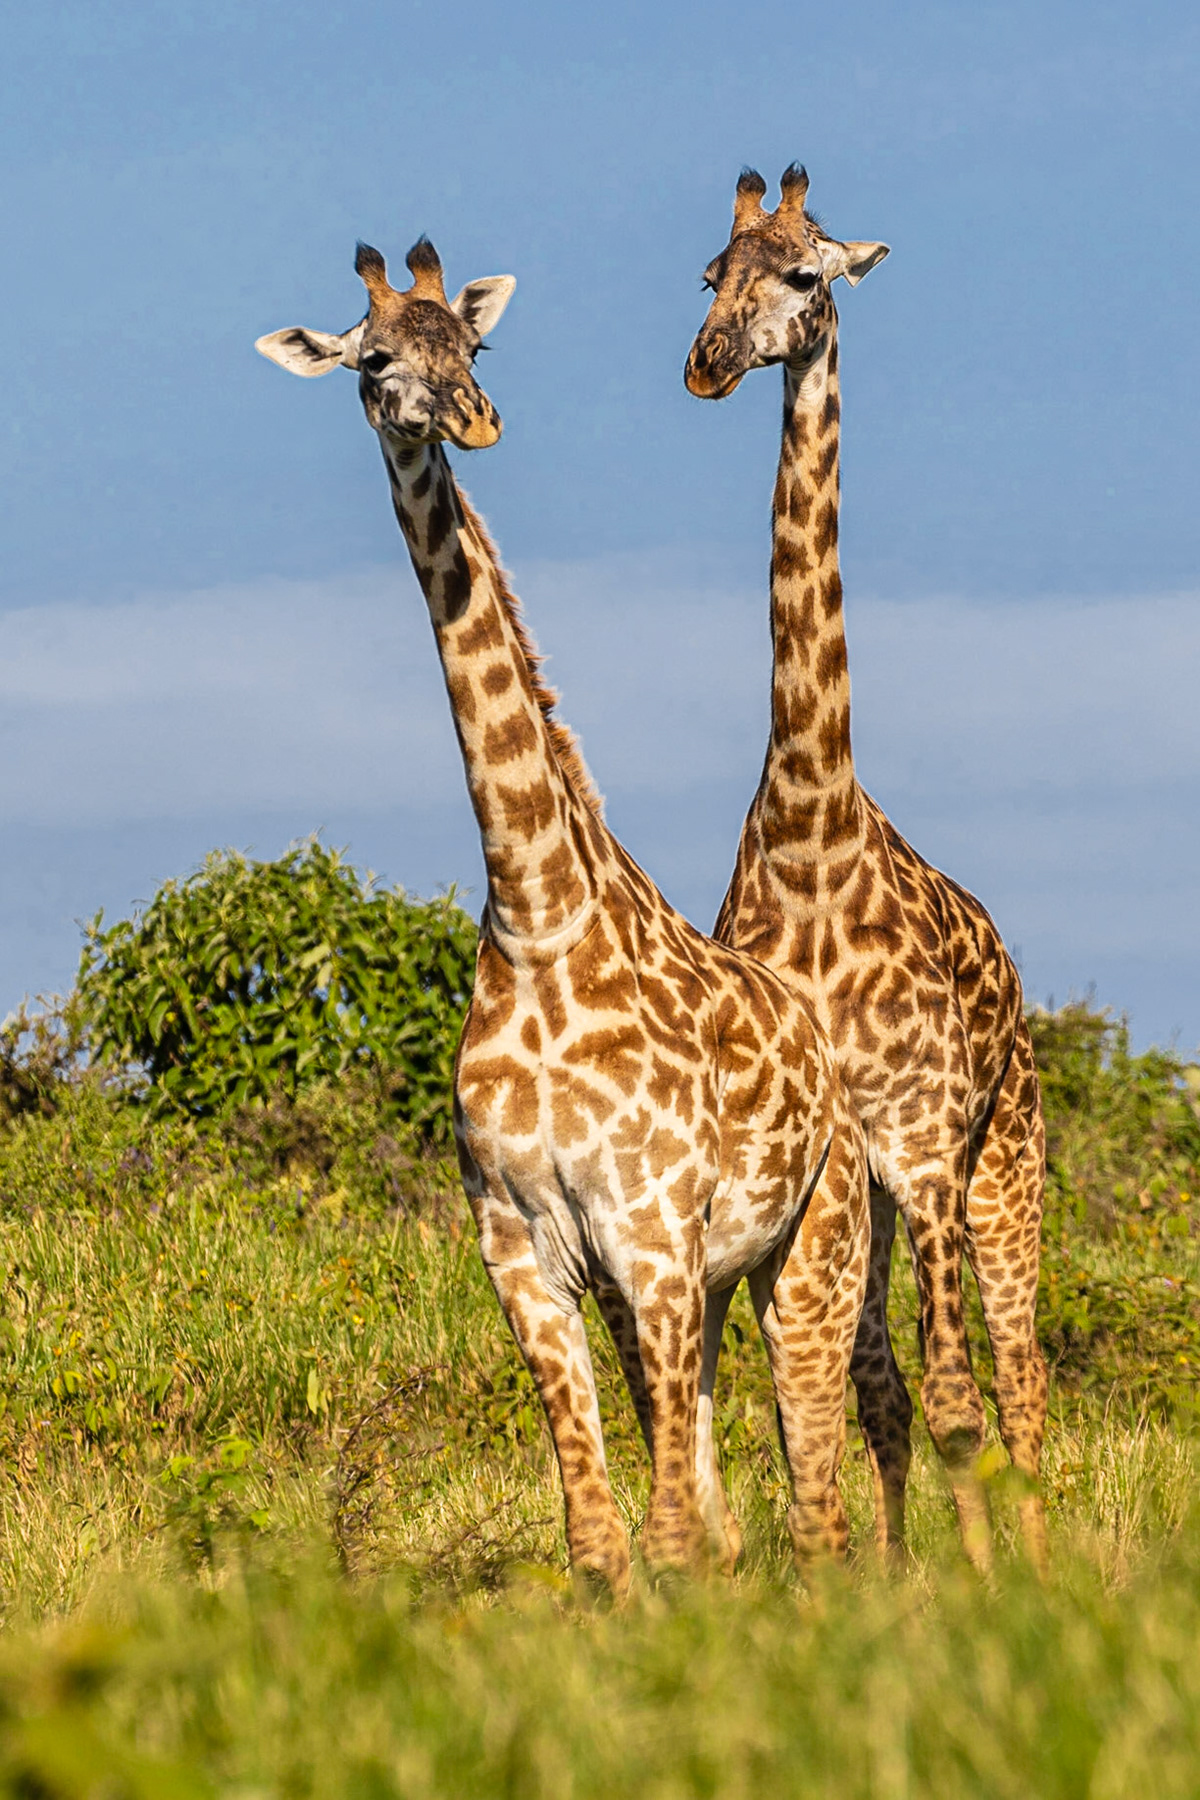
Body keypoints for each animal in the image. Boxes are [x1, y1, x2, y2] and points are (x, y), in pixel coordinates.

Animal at [256, 235, 871, 1592]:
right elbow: (603, 1540)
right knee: (731, 1496)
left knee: (818, 1493)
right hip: (705, 1283)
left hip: (811, 1248)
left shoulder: (650, 1235)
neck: (536, 913)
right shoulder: (525, 1252)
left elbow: (668, 1527)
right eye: (373, 359)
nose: (476, 417)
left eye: (475, 344)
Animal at [685, 166, 1048, 1571]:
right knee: (897, 1380)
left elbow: (956, 1402)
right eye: (710, 274)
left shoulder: (926, 1140)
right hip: (894, 1192)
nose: (707, 363)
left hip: (1002, 1160)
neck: (810, 827)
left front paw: (996, 1595)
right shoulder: (831, 1158)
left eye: (805, 276)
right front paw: (883, 1589)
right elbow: (854, 1395)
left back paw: (1045, 1560)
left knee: (1020, 1375)